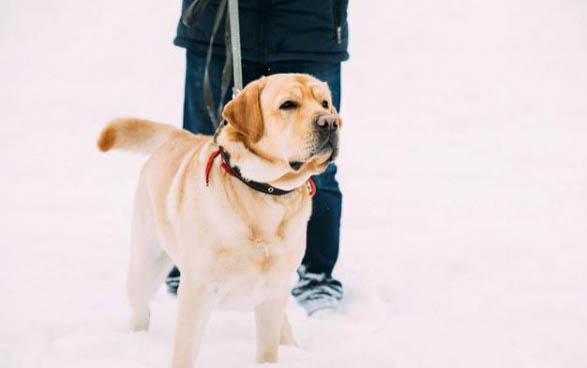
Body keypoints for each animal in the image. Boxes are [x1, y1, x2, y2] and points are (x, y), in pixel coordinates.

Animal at [99, 73, 342, 366]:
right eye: (288, 105)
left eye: (325, 103)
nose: (330, 121)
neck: (264, 192)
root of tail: (179, 136)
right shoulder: (197, 290)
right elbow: (184, 352)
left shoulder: (274, 293)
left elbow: (268, 351)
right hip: (146, 264)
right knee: (140, 308)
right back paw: (138, 339)